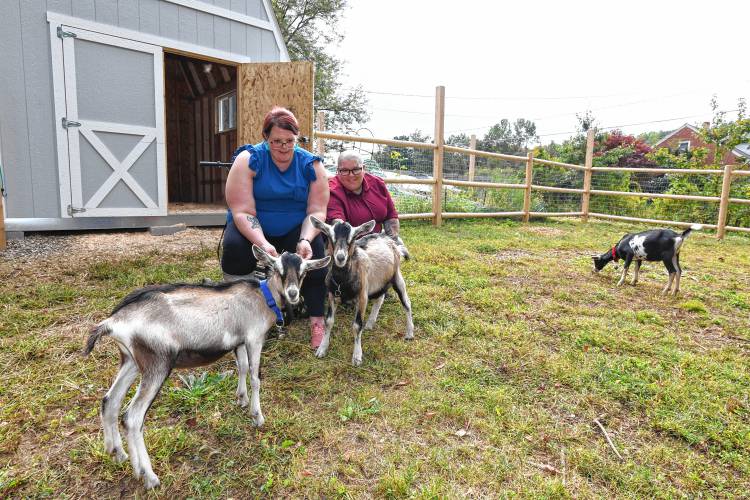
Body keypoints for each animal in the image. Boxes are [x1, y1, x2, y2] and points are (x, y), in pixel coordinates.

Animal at [83, 246, 328, 488]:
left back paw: (118, 454)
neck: (262, 296)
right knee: (132, 417)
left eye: (304, 271)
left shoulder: (239, 342)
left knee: (110, 401)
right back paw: (148, 476)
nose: (293, 294)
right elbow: (255, 377)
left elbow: (242, 368)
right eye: (278, 269)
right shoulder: (254, 338)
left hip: (131, 361)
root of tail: (113, 322)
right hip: (157, 364)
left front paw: (241, 399)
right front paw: (257, 416)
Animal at [312, 216, 418, 368]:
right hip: (379, 281)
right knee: (380, 298)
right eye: (331, 236)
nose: (340, 257)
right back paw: (370, 323)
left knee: (406, 303)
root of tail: (388, 238)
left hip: (397, 277)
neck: (342, 281)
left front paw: (357, 357)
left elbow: (357, 326)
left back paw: (409, 332)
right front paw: (322, 349)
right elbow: (329, 321)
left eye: (353, 237)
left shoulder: (362, 297)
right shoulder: (332, 295)